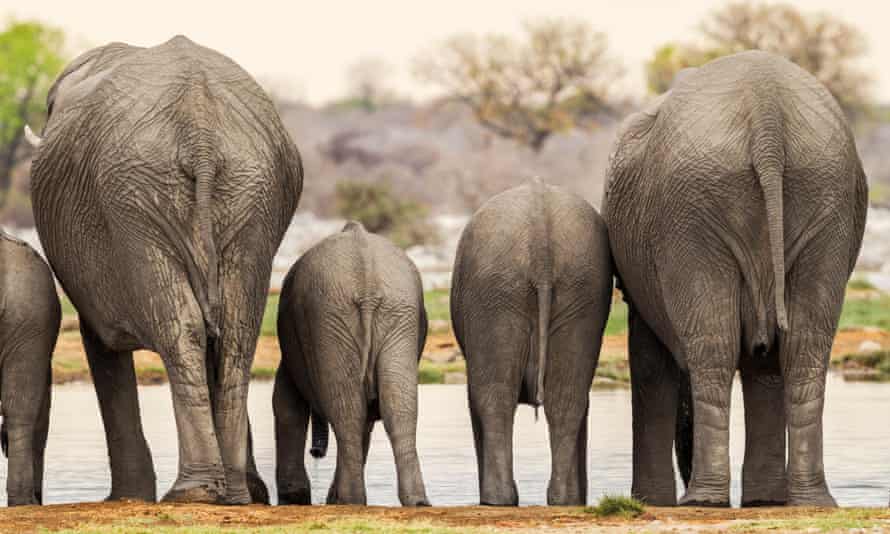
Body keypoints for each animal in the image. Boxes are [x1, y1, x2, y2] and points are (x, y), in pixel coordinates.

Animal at [26, 36, 302, 504]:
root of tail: (200, 129)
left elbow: (102, 344)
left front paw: (124, 498)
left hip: (136, 201)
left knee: (183, 329)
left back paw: (193, 493)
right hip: (245, 197)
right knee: (235, 330)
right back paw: (236, 493)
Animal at [274, 221, 430, 506]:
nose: (315, 452)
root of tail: (367, 281)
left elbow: (286, 402)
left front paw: (295, 497)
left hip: (338, 316)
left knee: (348, 411)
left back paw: (350, 500)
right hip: (390, 316)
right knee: (395, 407)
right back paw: (416, 502)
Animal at [450, 179, 613, 506]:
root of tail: (541, 241)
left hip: (495, 291)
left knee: (494, 396)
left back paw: (498, 500)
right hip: (578, 288)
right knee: (567, 397)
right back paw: (563, 499)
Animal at [603, 51, 867, 507]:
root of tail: (767, 110)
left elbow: (653, 364)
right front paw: (765, 500)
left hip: (698, 209)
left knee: (716, 348)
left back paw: (703, 500)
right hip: (818, 198)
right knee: (802, 349)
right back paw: (807, 501)